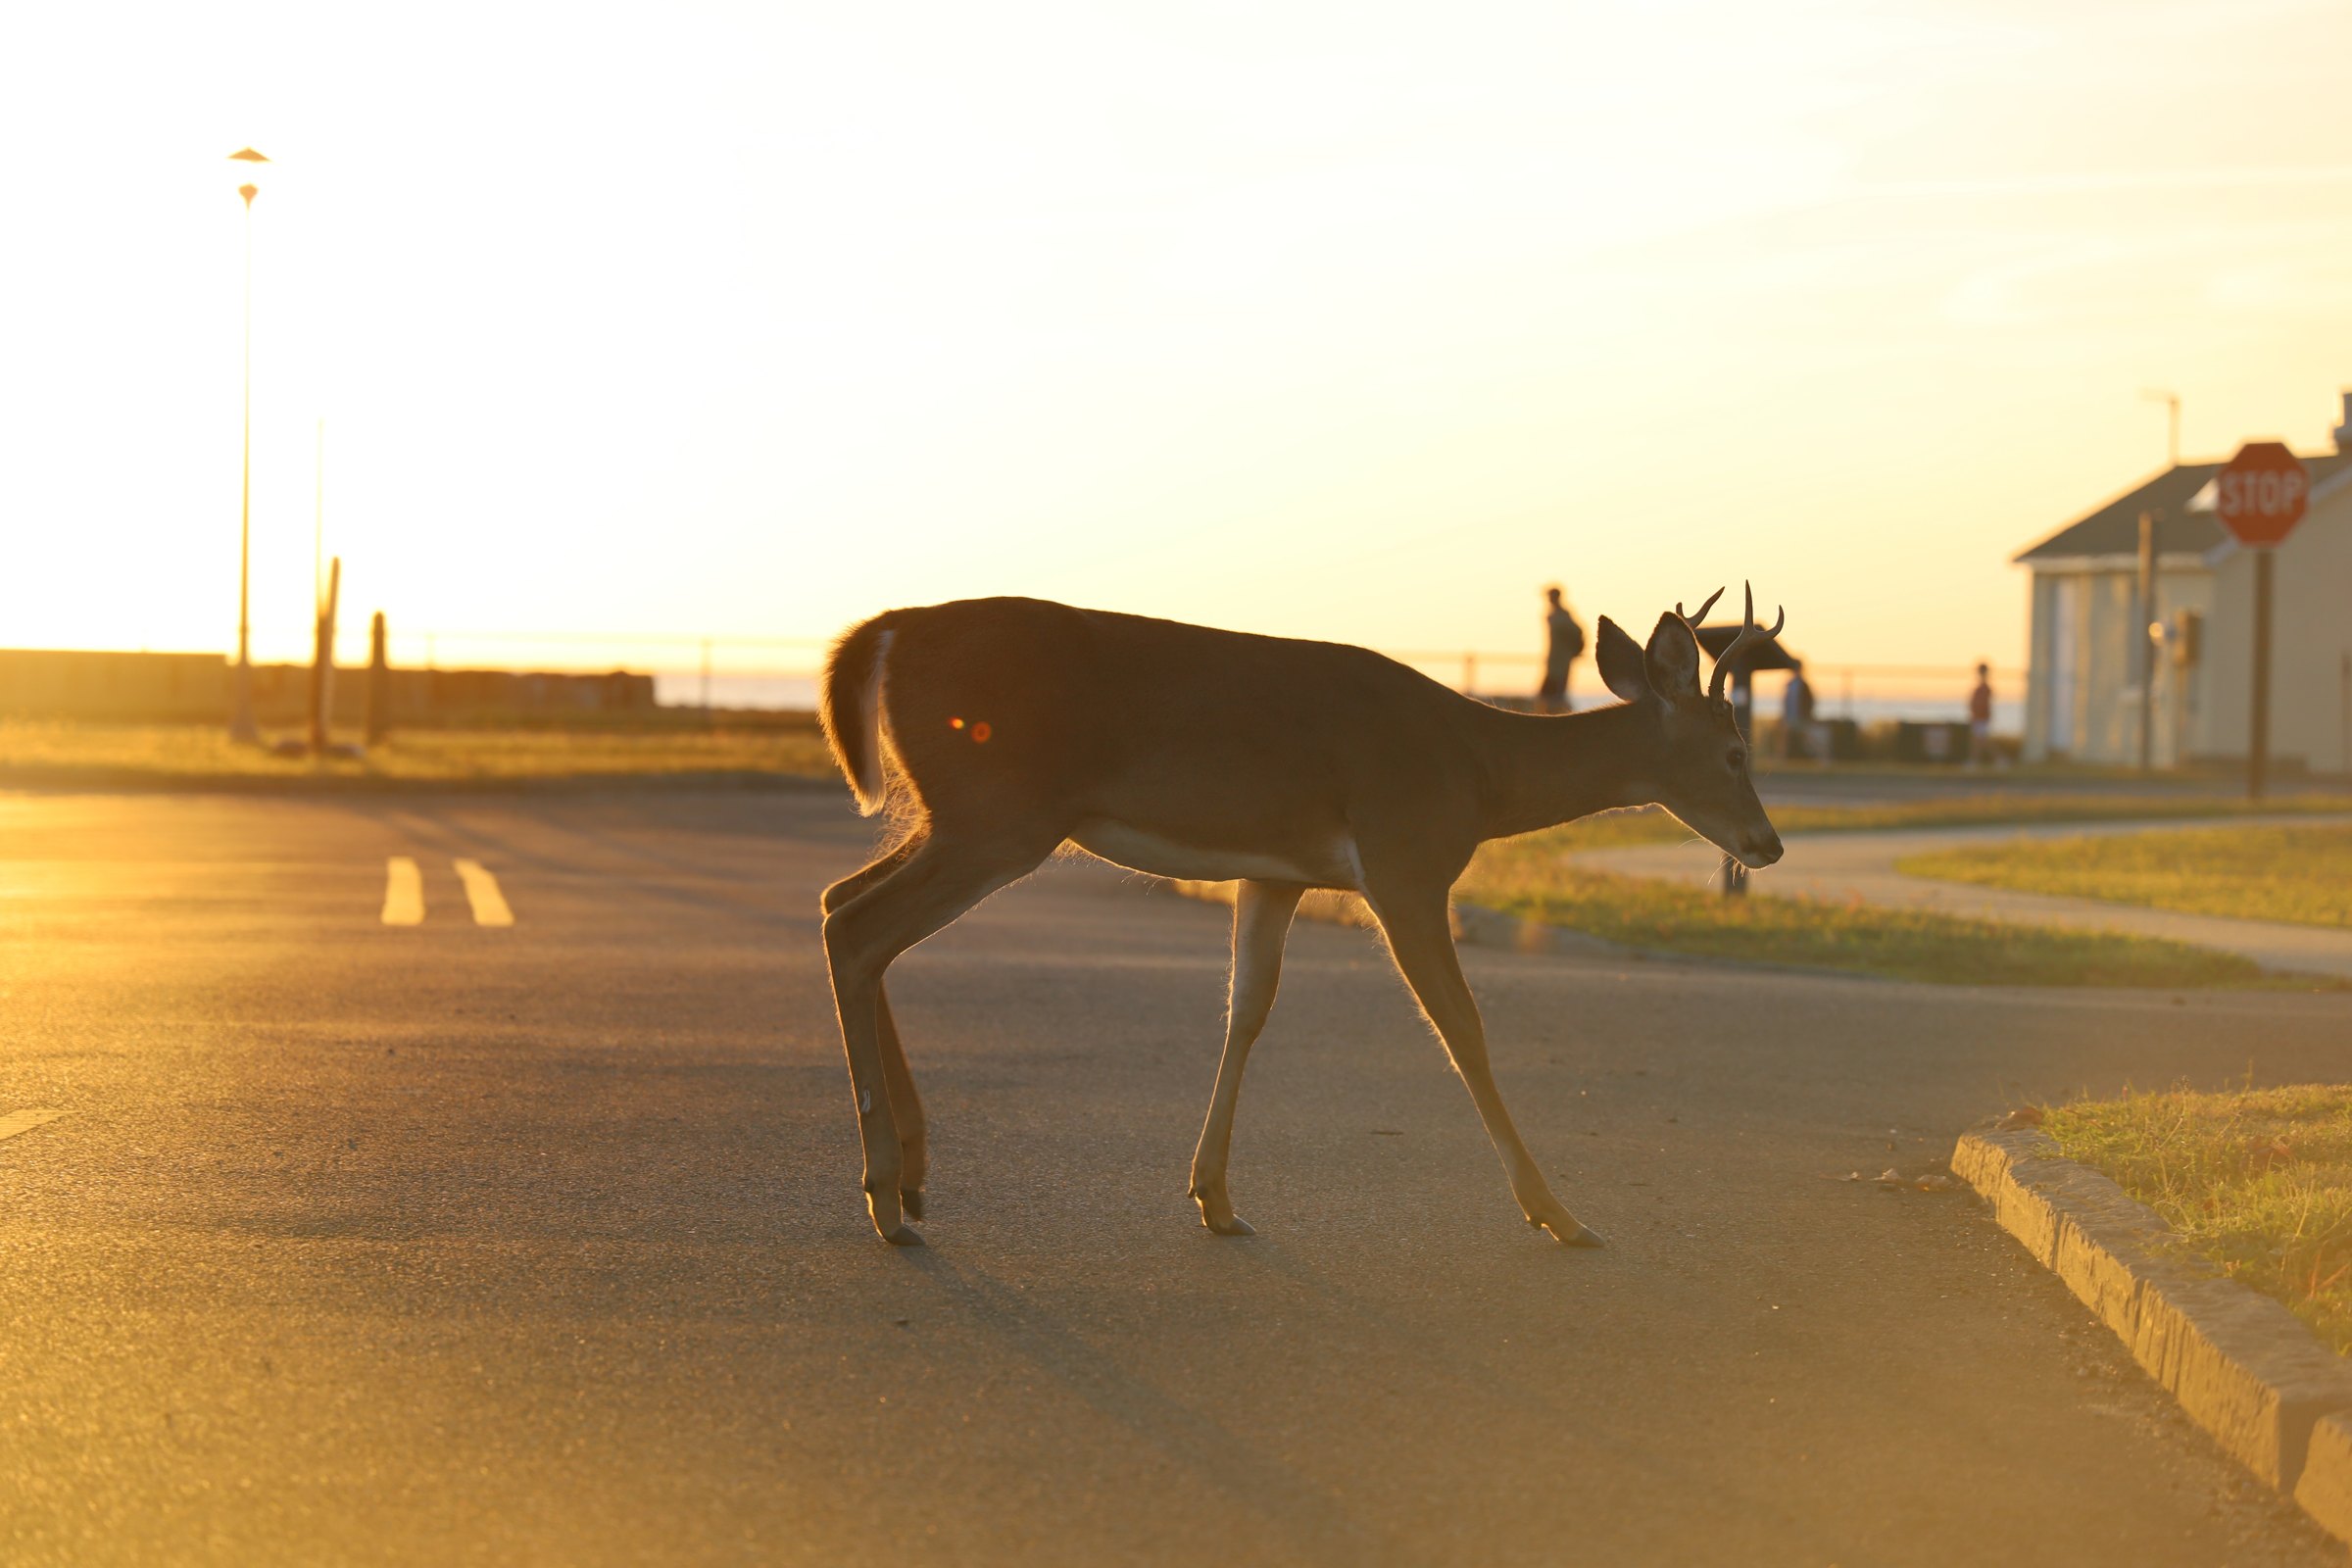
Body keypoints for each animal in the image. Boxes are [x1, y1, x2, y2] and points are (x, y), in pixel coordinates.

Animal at [816, 586, 1785, 1247]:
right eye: (1737, 751)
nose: (1768, 843)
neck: (1478, 774)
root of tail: (884, 631)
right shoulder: (1404, 863)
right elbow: (1462, 1029)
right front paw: (1558, 1213)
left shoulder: (1275, 875)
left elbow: (1247, 1011)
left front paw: (1215, 1197)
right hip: (999, 816)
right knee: (856, 929)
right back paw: (884, 1194)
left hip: (961, 816)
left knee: (840, 903)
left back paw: (912, 1176)